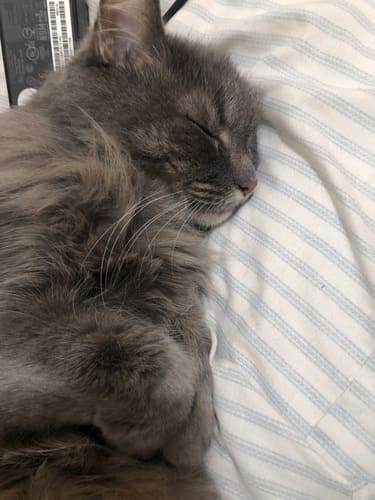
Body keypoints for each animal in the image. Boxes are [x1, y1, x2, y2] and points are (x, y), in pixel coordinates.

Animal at [0, 1, 258, 498]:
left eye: (251, 142)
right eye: (204, 128)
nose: (251, 183)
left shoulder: (174, 297)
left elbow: (194, 344)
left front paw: (190, 431)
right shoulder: (20, 310)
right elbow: (145, 357)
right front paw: (165, 437)